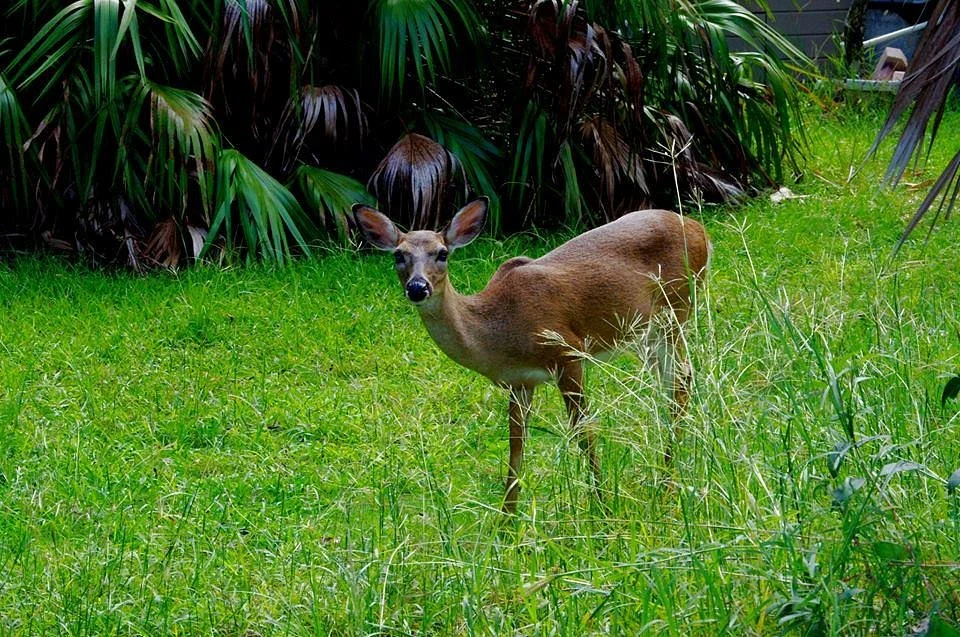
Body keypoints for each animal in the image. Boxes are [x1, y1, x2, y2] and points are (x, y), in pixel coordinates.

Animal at [353, 198, 710, 513]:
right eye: (398, 256)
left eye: (442, 253)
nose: (418, 287)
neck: (497, 331)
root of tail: (701, 231)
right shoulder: (519, 381)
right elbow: (516, 445)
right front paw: (507, 521)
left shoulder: (568, 353)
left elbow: (583, 432)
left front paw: (603, 504)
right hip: (646, 333)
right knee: (672, 383)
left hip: (675, 310)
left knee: (681, 380)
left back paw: (667, 484)